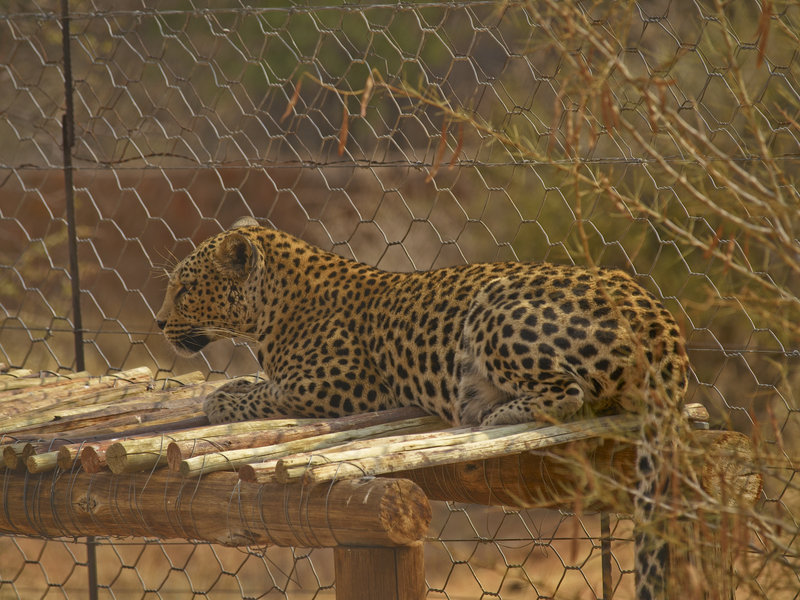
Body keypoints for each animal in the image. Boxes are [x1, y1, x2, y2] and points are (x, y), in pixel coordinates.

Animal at [156, 214, 688, 596]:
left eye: (184, 288)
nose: (159, 323)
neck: (272, 311)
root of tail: (660, 319)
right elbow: (252, 382)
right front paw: (228, 386)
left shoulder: (342, 384)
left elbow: (262, 392)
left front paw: (222, 399)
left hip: (494, 309)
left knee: (571, 393)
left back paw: (493, 412)